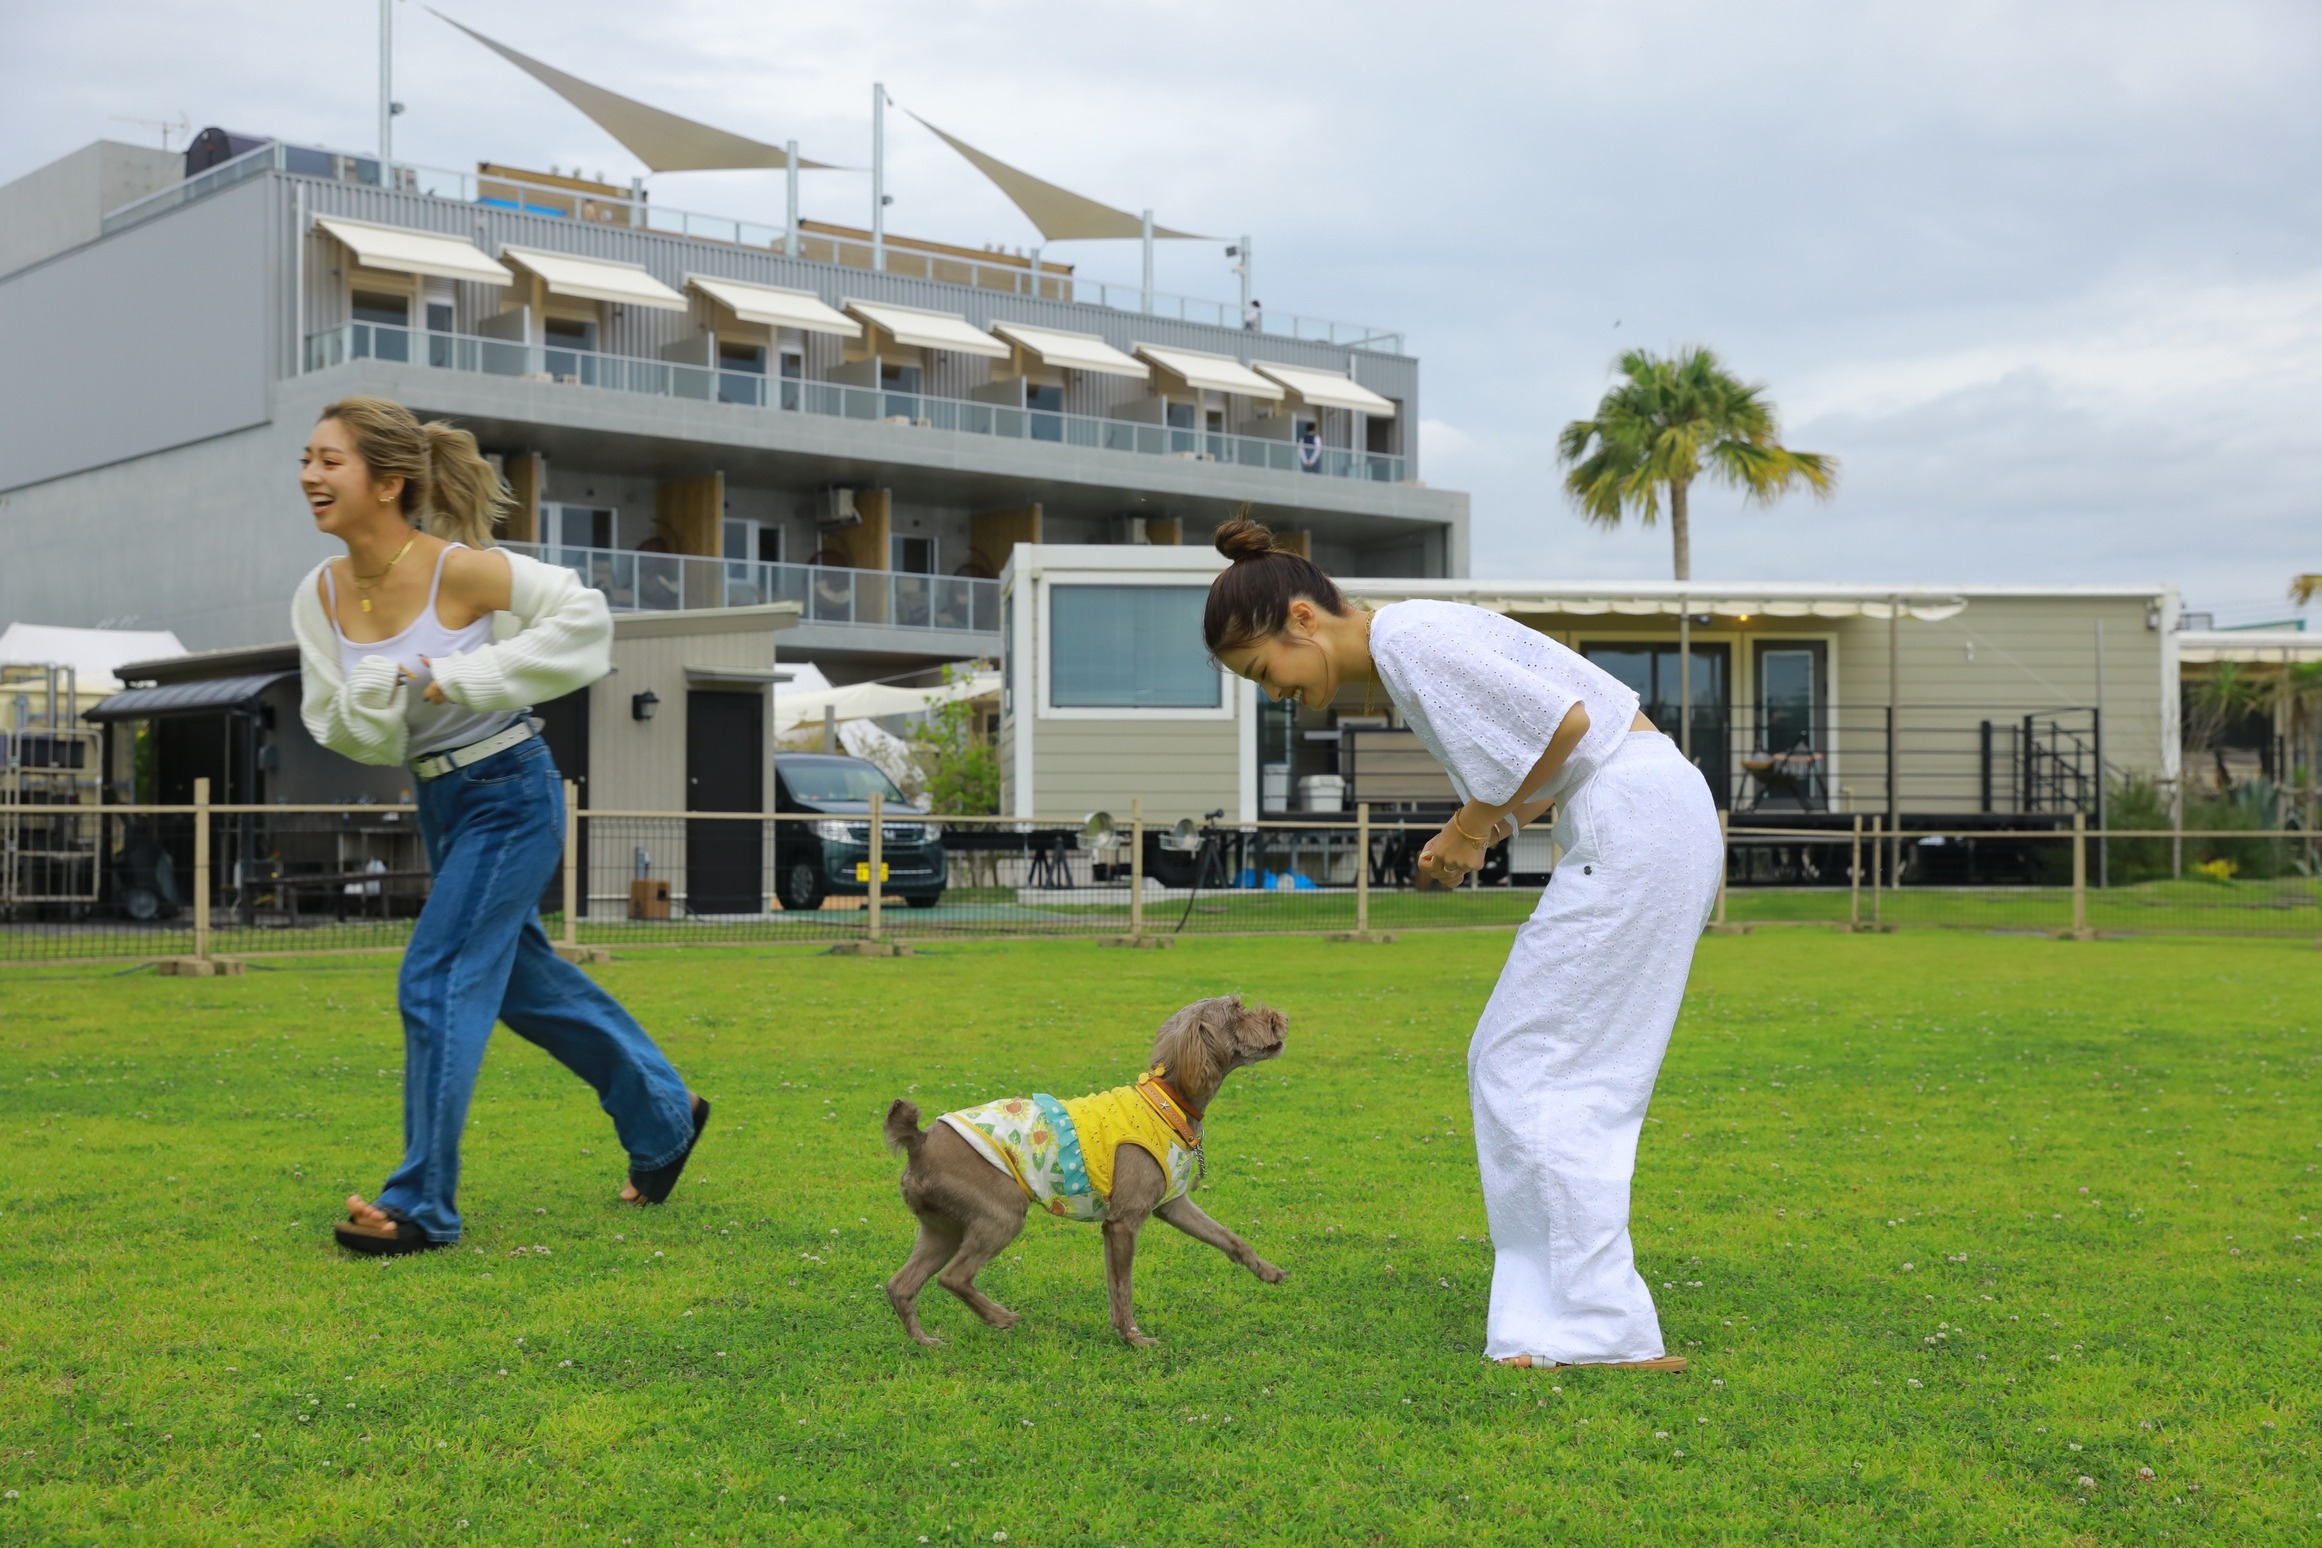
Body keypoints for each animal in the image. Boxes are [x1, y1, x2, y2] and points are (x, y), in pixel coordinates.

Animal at [882, 997, 1291, 1346]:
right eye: (1238, 1010)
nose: (1281, 1017)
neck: (1166, 1102)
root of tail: (919, 1141)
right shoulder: (1123, 1222)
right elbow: (1123, 1288)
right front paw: (1134, 1338)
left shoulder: (1172, 1205)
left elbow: (1229, 1239)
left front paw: (1268, 1271)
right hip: (1000, 1213)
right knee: (954, 1277)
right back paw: (999, 1317)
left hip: (944, 1228)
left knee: (900, 1285)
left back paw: (925, 1342)